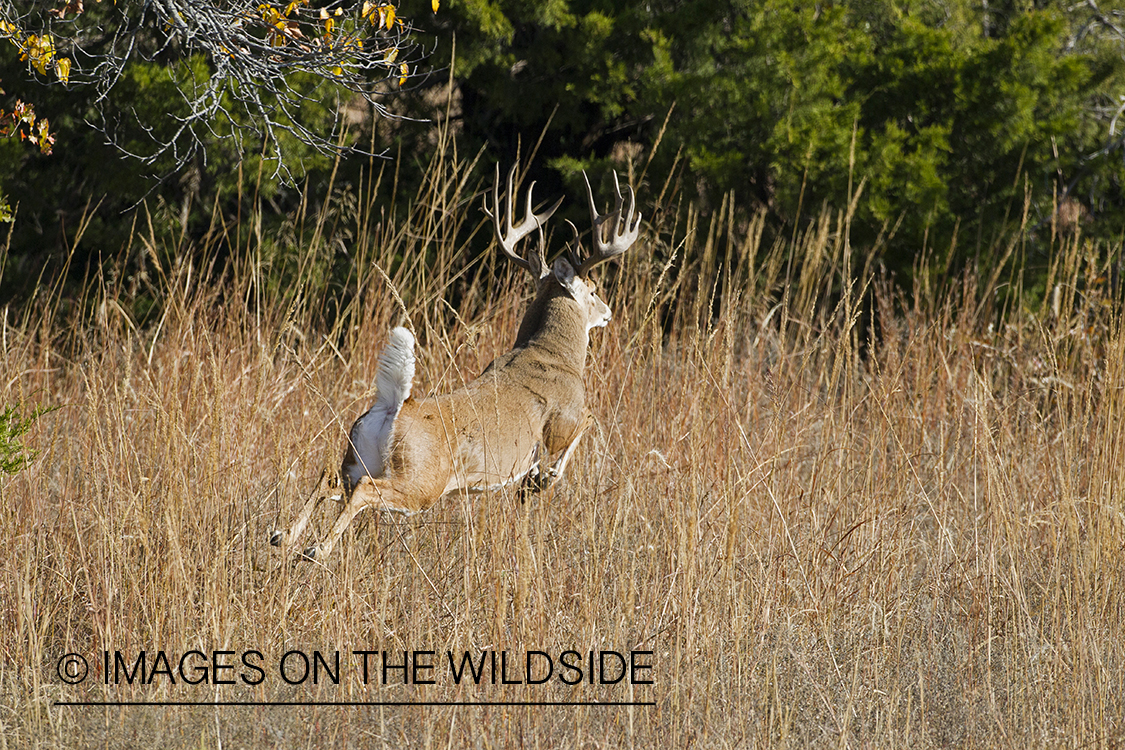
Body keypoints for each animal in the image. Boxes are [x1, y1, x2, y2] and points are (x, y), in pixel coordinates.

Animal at [270, 165, 643, 562]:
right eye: (593, 291)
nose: (607, 312)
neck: (553, 353)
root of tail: (394, 406)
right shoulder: (563, 419)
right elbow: (589, 421)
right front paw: (542, 480)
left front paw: (535, 482)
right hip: (421, 481)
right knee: (364, 490)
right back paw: (315, 548)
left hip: (359, 456)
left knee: (330, 478)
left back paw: (283, 535)